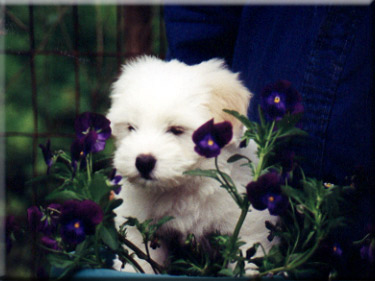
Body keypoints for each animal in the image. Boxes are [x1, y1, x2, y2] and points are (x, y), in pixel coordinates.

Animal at [107, 55, 274, 272]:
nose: (143, 162)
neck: (182, 188)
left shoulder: (248, 229)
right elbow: (141, 262)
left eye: (176, 130)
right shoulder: (140, 228)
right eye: (131, 128)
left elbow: (247, 261)